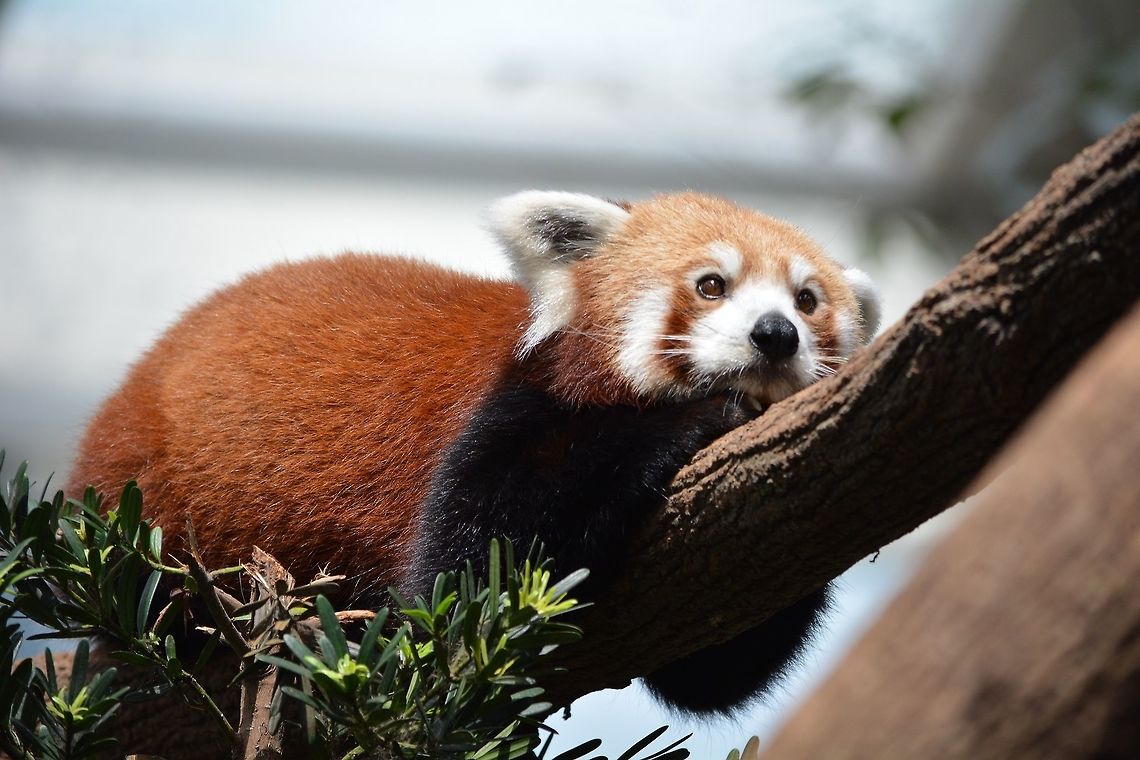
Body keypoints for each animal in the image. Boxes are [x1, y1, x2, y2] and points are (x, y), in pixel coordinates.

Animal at [69, 190, 881, 714]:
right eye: (713, 285)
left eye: (807, 300)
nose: (776, 335)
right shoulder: (506, 409)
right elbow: (472, 569)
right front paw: (703, 416)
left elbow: (711, 670)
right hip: (150, 496)